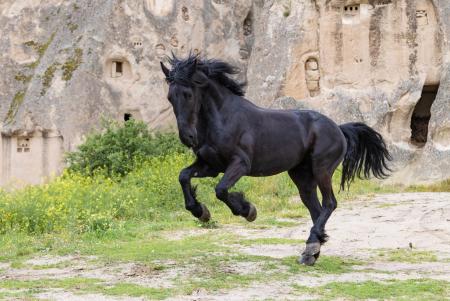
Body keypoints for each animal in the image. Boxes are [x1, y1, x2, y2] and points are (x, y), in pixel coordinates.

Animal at [161, 54, 390, 264]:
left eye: (188, 94)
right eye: (170, 97)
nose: (188, 138)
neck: (224, 118)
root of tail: (339, 129)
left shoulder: (240, 164)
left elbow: (221, 190)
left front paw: (248, 210)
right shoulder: (210, 166)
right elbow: (183, 177)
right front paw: (201, 212)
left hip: (322, 170)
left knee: (329, 203)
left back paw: (311, 247)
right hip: (302, 176)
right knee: (315, 209)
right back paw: (311, 252)